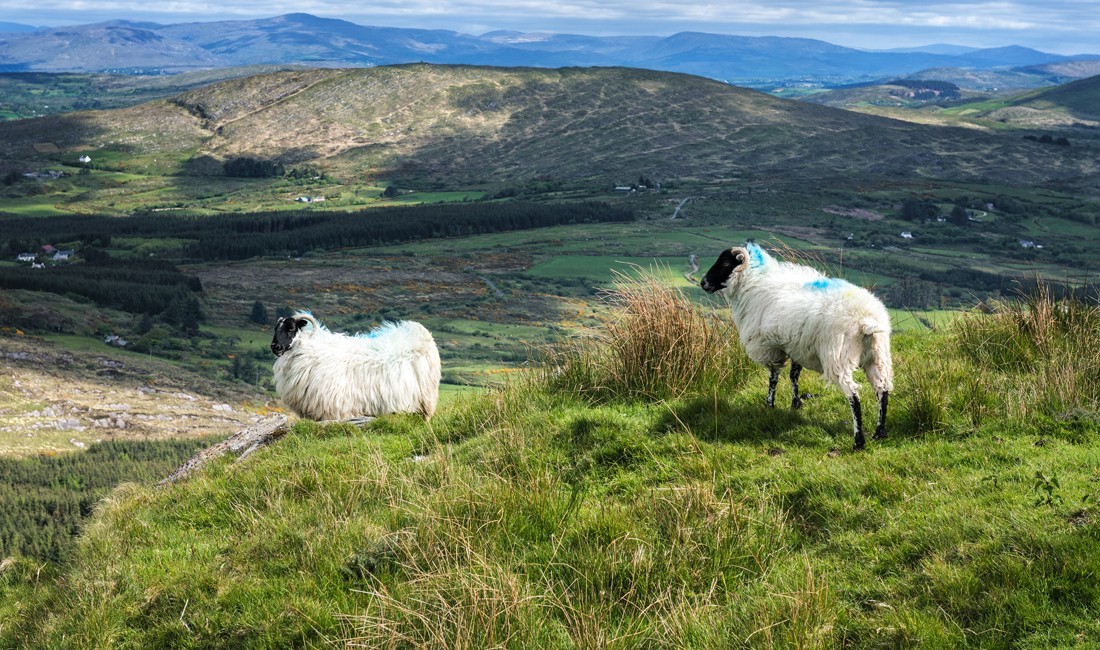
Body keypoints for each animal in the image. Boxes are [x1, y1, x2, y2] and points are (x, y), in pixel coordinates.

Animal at [268, 314, 440, 424]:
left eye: (291, 328)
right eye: (275, 329)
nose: (275, 347)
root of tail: (422, 334)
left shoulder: (335, 409)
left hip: (425, 400)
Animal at [704, 241, 893, 450]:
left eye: (724, 264)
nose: (703, 283)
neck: (753, 283)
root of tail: (866, 320)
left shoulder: (770, 348)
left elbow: (773, 378)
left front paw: (769, 405)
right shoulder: (796, 345)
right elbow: (794, 375)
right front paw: (795, 403)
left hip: (837, 356)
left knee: (854, 396)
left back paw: (859, 441)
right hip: (877, 355)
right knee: (882, 389)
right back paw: (879, 432)